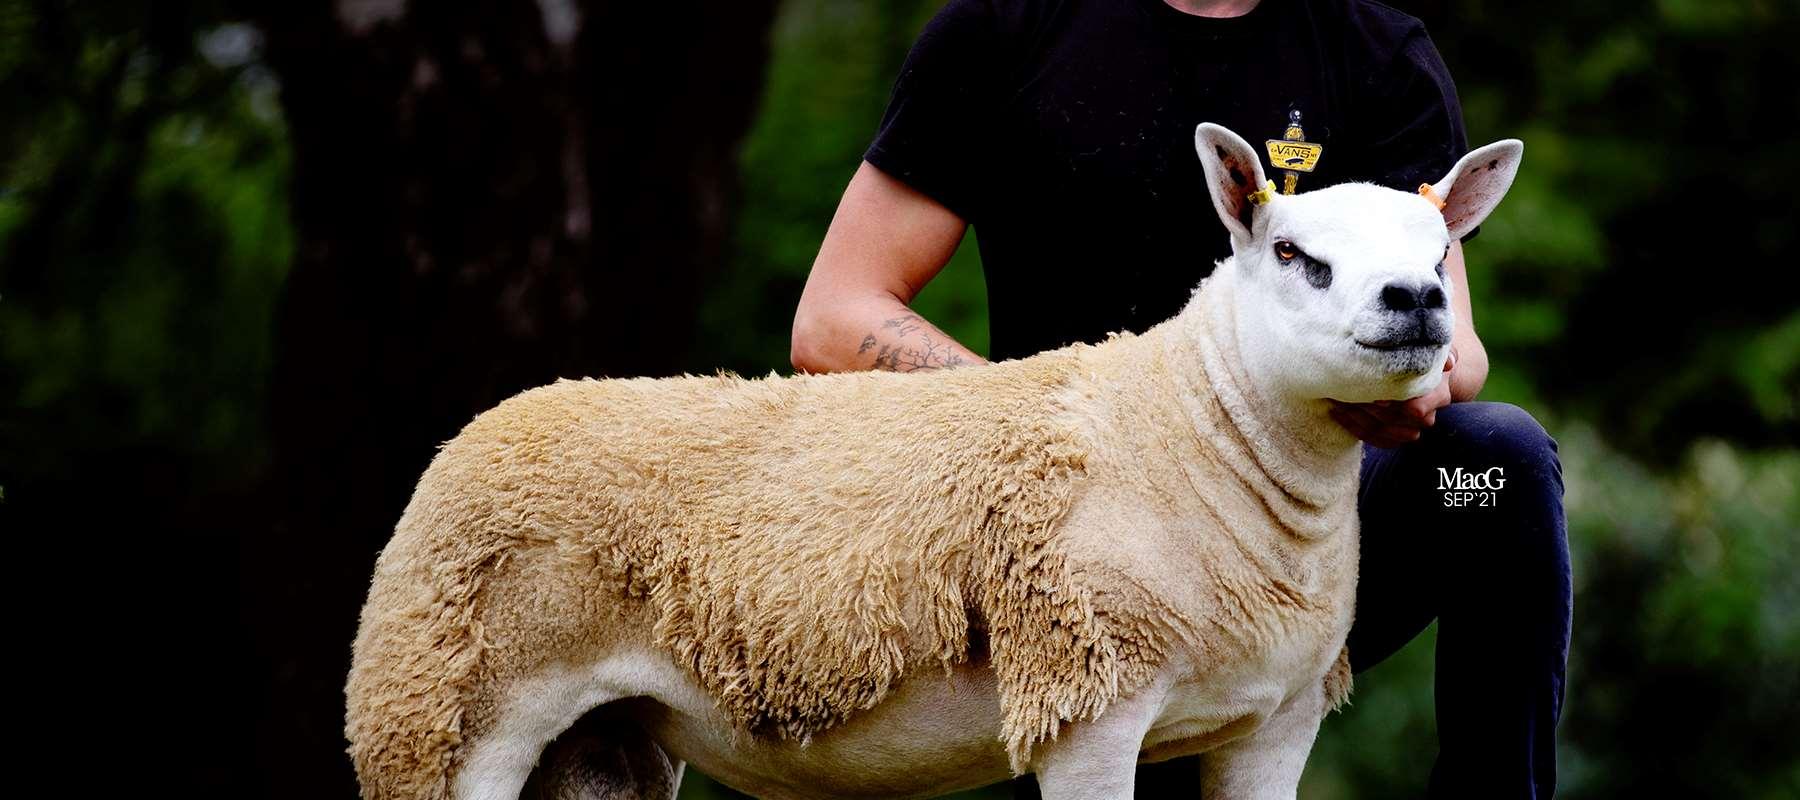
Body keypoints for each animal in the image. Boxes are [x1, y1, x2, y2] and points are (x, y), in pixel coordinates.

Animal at [344, 122, 1523, 800]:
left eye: (1440, 254)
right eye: (1292, 254)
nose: (1416, 301)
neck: (1195, 431)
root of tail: (469, 439)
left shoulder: (1272, 726)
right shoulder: (1089, 701)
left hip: (599, 741)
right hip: (452, 712)